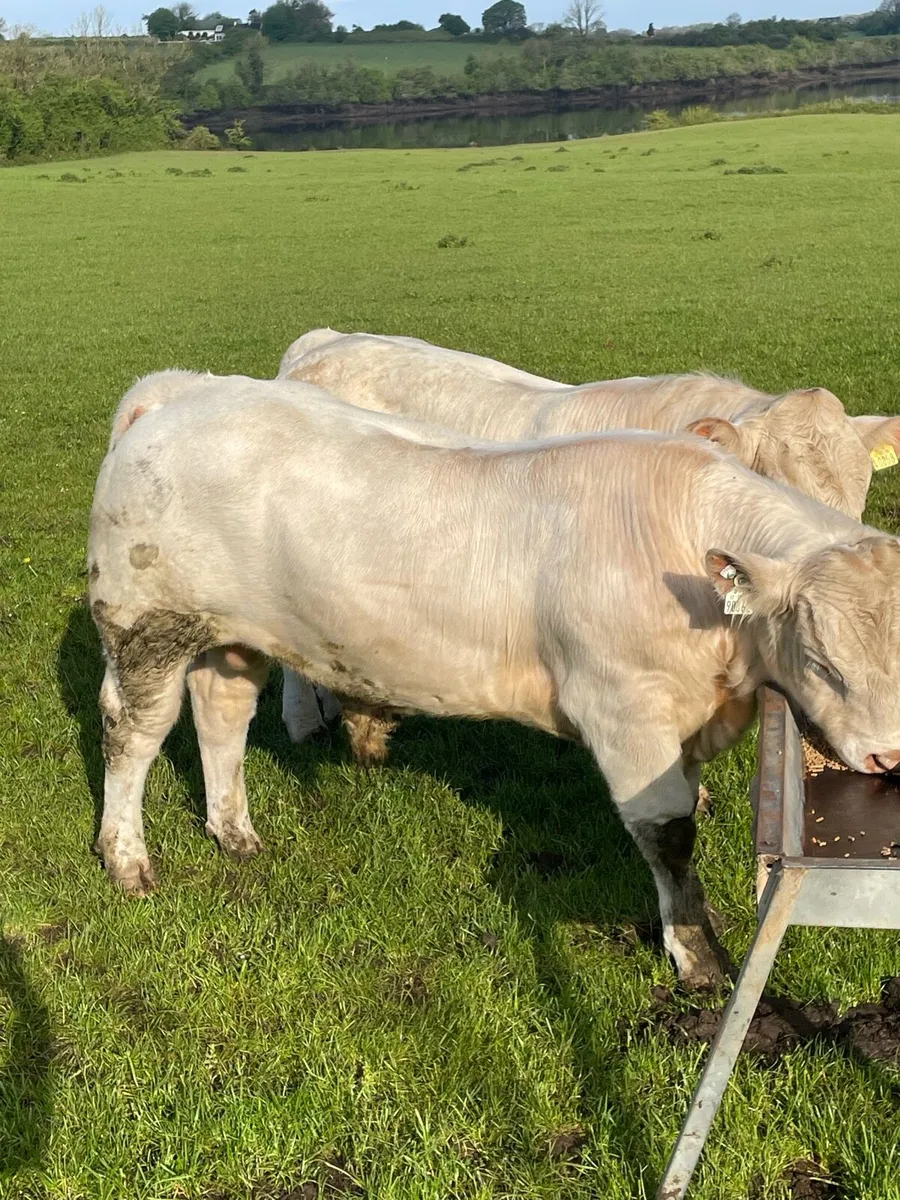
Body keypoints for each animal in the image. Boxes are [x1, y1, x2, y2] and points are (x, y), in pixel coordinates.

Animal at [90, 370, 900, 991]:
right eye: (822, 660)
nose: (887, 757)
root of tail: (178, 391)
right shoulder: (625, 712)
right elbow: (669, 835)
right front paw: (698, 956)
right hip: (144, 625)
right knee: (133, 735)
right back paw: (126, 858)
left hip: (231, 635)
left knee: (221, 714)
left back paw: (234, 832)